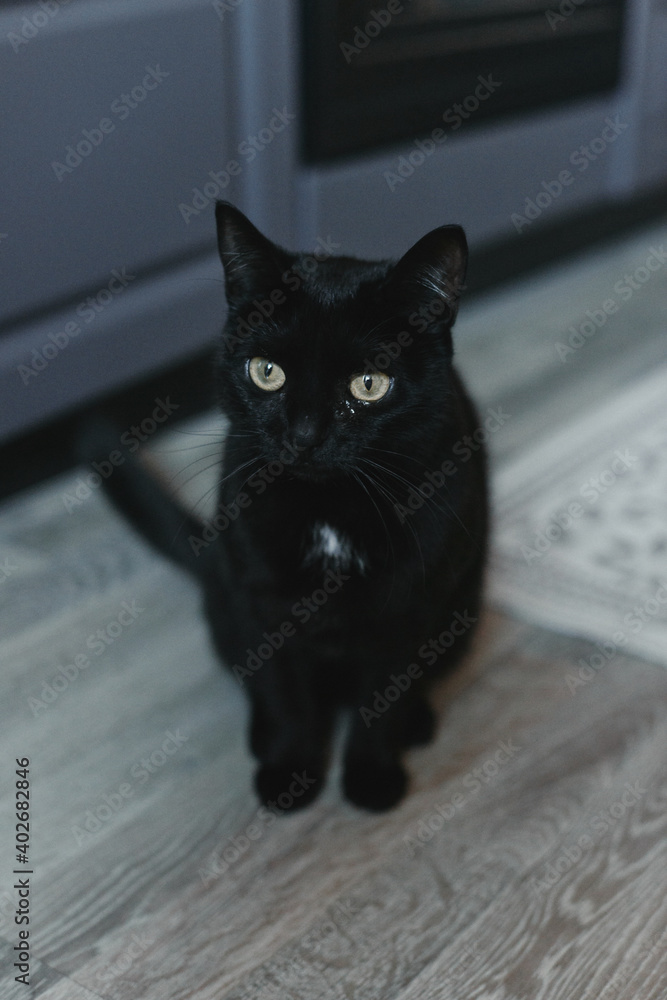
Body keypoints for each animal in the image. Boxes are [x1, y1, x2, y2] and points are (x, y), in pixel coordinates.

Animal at [86, 203, 488, 812]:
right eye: (266, 372)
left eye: (369, 384)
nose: (303, 435)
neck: (330, 514)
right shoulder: (261, 601)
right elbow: (283, 692)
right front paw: (289, 775)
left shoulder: (409, 608)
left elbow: (382, 699)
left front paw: (372, 778)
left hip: (461, 605)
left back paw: (417, 723)